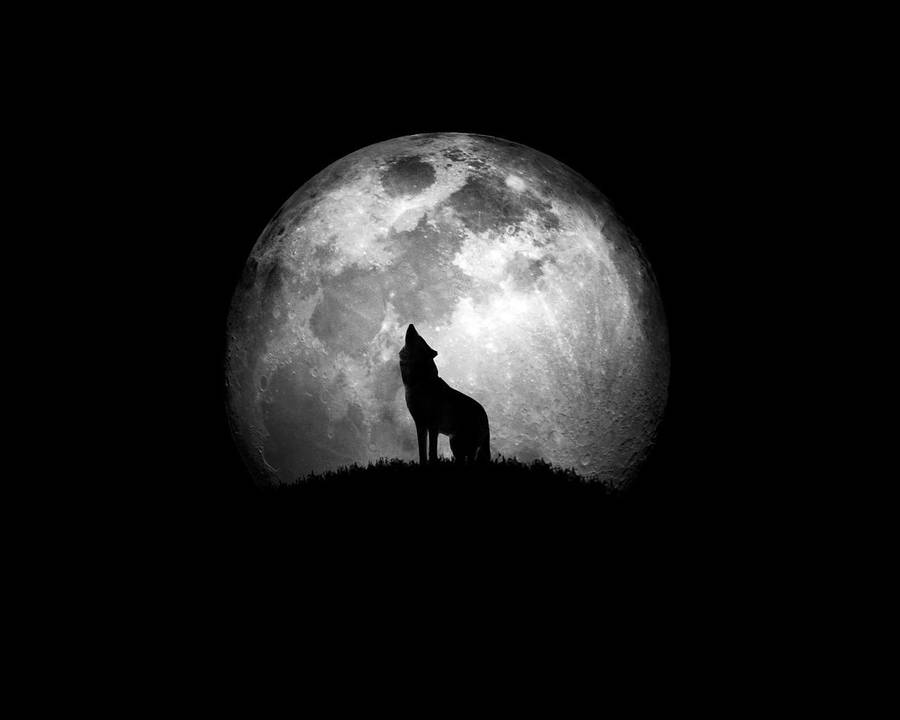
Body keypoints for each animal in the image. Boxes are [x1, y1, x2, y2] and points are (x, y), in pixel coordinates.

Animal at [398, 324, 491, 465]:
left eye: (419, 338)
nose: (411, 325)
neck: (420, 382)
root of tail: (486, 419)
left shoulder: (433, 426)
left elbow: (432, 451)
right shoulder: (420, 424)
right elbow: (422, 451)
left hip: (458, 444)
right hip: (456, 445)